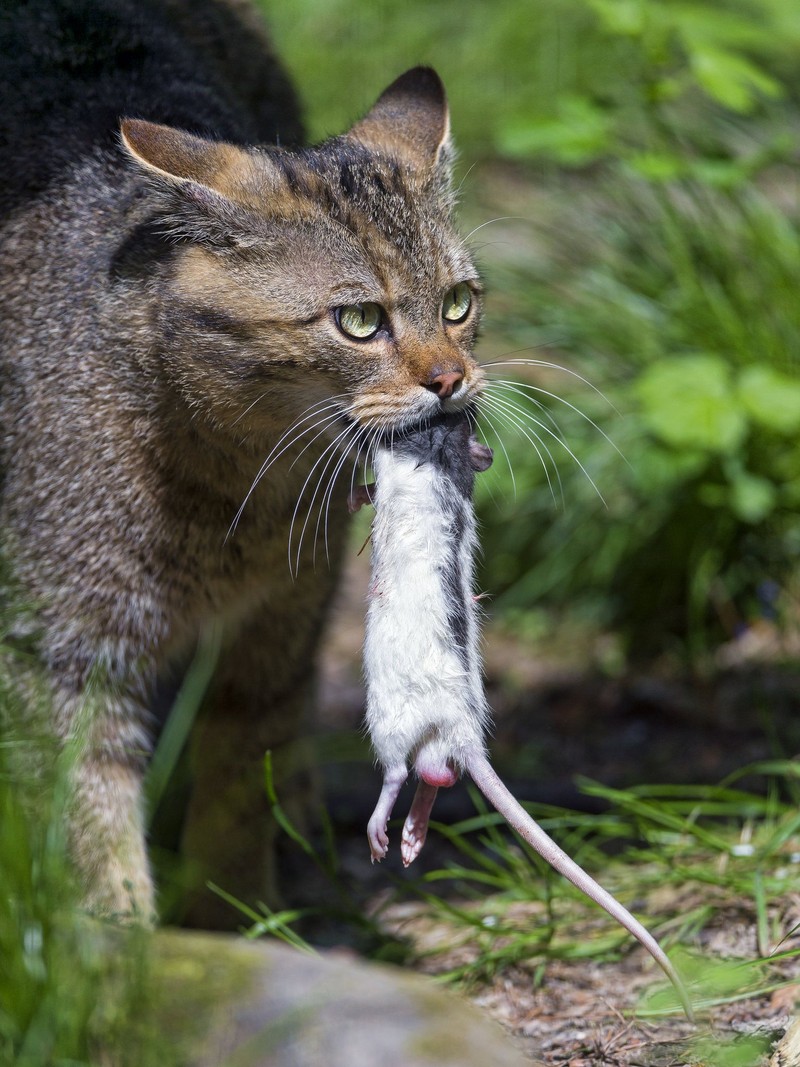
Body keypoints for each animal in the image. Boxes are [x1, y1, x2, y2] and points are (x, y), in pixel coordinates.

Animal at [0, 0, 486, 926]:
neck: (231, 487)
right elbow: (88, 810)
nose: (451, 378)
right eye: (360, 320)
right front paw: (120, 937)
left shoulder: (279, 617)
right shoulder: (59, 651)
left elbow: (240, 768)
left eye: (457, 303)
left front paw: (234, 909)